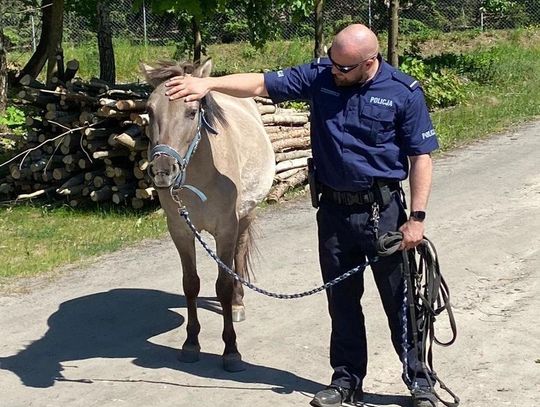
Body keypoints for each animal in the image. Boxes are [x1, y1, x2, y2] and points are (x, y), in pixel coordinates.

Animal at [140, 58, 274, 372]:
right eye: (149, 110)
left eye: (191, 112)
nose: (162, 171)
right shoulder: (180, 231)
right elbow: (191, 284)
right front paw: (191, 343)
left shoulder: (226, 229)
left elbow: (223, 284)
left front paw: (231, 350)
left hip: (245, 217)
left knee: (238, 256)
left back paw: (237, 304)